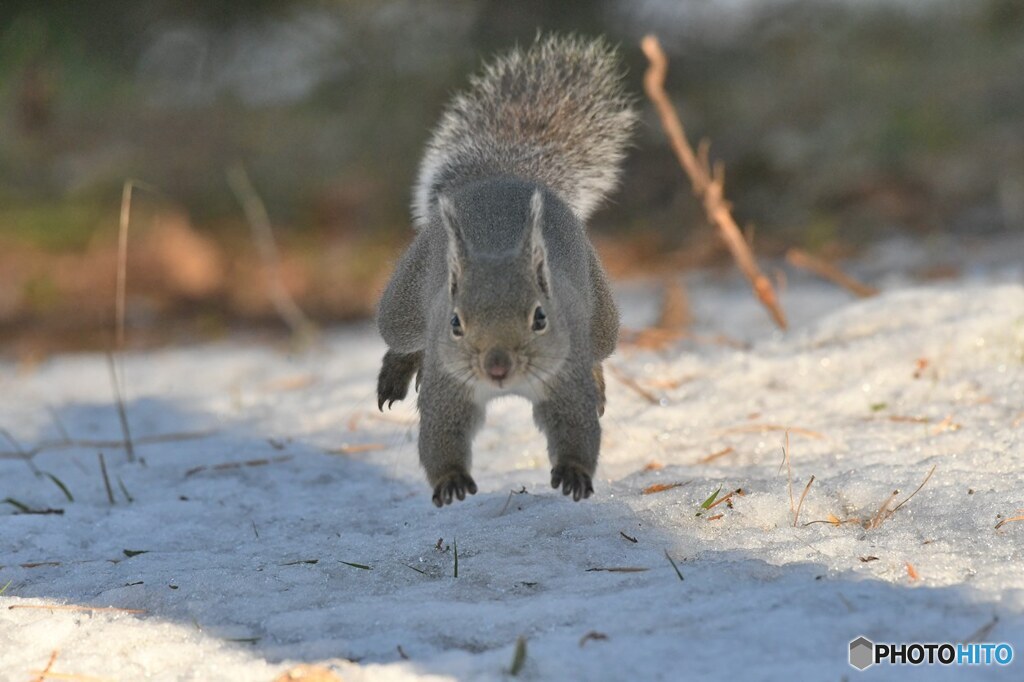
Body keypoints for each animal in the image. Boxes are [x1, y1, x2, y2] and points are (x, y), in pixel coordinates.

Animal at [374, 35, 630, 503]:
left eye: (541, 317)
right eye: (455, 322)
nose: (497, 367)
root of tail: (502, 178)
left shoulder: (565, 377)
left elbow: (575, 426)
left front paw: (574, 471)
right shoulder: (448, 385)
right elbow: (442, 434)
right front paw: (451, 478)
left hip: (602, 319)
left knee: (598, 353)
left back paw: (599, 380)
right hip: (402, 306)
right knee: (402, 340)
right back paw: (395, 373)